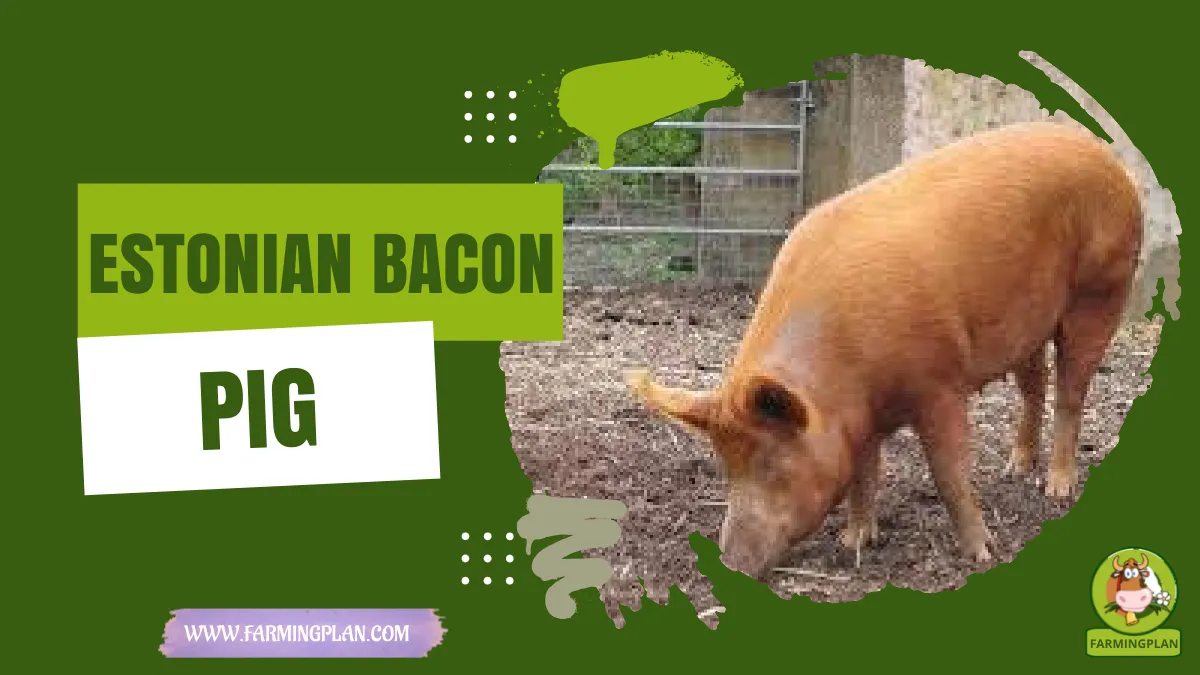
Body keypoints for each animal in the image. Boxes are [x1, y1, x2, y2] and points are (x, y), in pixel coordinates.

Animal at [625, 121, 1144, 580]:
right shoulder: (862, 418)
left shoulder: (939, 382)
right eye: (725, 466)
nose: (730, 564)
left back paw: (1055, 490)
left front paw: (981, 554)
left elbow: (948, 472)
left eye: (771, 465)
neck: (847, 378)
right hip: (1028, 325)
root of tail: (1107, 159)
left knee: (1071, 391)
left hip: (1102, 289)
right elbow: (862, 472)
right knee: (1034, 385)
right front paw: (854, 541)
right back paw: (1016, 468)